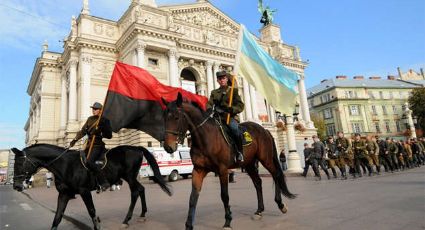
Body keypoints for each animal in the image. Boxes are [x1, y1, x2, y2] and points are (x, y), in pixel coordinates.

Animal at [11, 145, 171, 229]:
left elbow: (92, 211)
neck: (66, 164)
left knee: (135, 192)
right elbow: (57, 217)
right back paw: (142, 214)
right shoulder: (64, 195)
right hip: (129, 177)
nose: (16, 186)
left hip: (130, 177)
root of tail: (135, 147)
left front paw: (97, 225)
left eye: (19, 163)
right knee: (141, 189)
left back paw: (126, 219)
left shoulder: (84, 191)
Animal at [162, 93, 294, 230]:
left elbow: (224, 196)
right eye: (164, 118)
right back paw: (259, 211)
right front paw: (188, 225)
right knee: (258, 182)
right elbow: (193, 198)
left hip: (265, 159)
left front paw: (228, 221)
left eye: (176, 118)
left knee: (276, 175)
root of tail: (265, 130)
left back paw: (281, 205)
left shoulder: (223, 170)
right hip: (249, 164)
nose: (168, 147)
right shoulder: (198, 170)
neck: (205, 138)